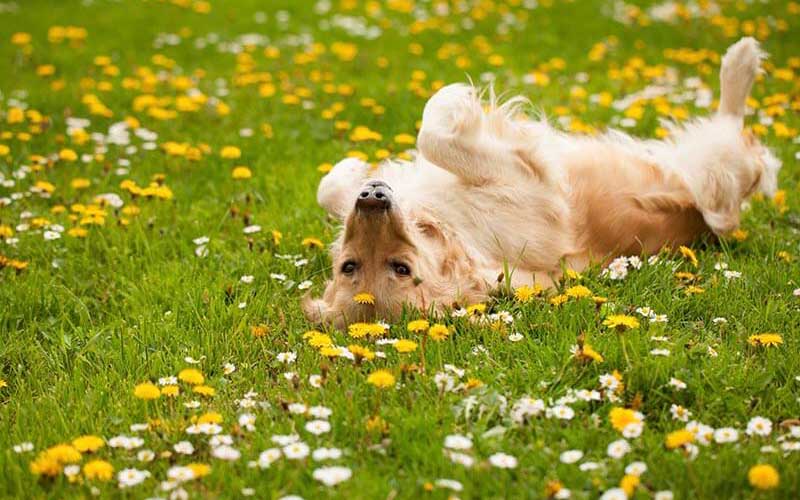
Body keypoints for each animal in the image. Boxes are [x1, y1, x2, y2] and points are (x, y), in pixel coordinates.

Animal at [304, 39, 780, 328]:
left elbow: (331, 187)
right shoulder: (531, 180)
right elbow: (434, 135)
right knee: (740, 143)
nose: (373, 197)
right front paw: (456, 99)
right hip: (716, 170)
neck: (453, 231)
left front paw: (351, 168)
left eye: (346, 266)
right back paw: (741, 62)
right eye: (397, 268)